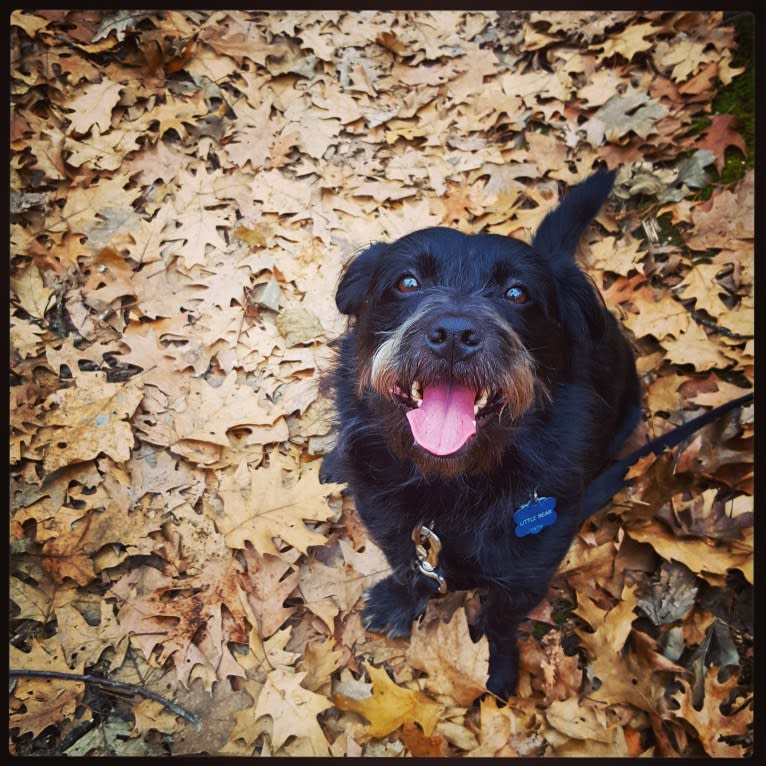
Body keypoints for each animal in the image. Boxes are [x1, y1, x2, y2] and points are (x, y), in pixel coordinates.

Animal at [320, 172, 644, 704]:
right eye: (407, 282)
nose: (454, 333)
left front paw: (498, 667)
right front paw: (399, 600)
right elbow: (408, 566)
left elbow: (498, 620)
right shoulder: (395, 526)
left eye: (517, 293)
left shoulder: (527, 573)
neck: (450, 484)